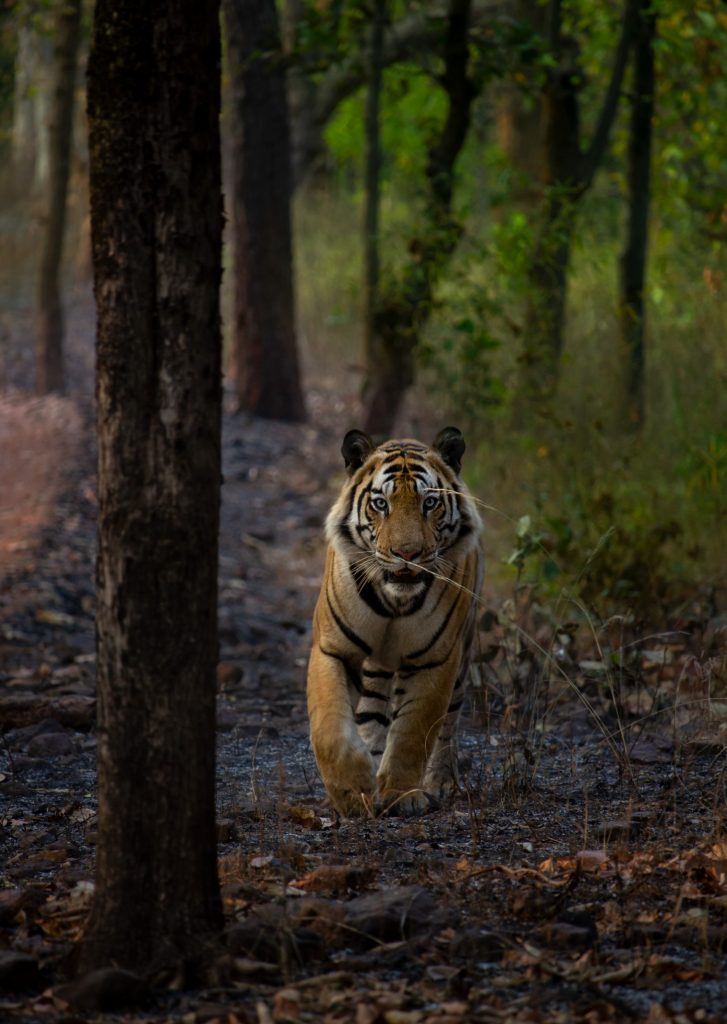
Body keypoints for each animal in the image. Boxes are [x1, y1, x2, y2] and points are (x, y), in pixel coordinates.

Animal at [307, 423, 483, 815]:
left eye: (429, 502)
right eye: (380, 504)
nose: (407, 554)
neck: (393, 603)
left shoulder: (436, 659)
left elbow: (413, 732)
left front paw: (402, 794)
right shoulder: (332, 649)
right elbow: (330, 728)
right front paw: (351, 791)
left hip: (461, 656)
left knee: (447, 723)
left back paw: (439, 782)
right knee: (371, 714)